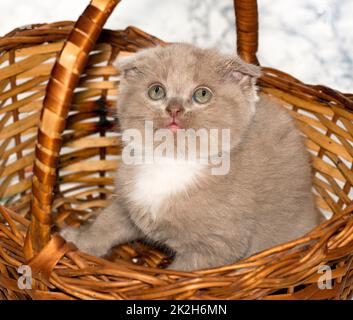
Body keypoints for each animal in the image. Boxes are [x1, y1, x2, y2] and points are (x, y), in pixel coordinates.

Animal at [61, 43, 322, 272]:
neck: (171, 161)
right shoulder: (127, 204)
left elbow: (183, 274)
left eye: (202, 94)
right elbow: (105, 223)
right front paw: (77, 241)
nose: (174, 109)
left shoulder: (216, 246)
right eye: (156, 91)